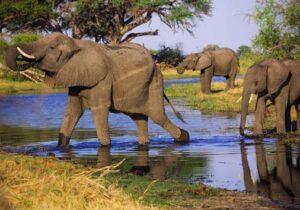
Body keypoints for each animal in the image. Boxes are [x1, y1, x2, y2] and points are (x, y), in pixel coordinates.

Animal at [5, 32, 190, 148]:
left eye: (51, 48)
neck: (76, 43)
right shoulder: (77, 77)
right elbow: (73, 111)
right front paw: (61, 146)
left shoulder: (103, 80)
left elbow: (99, 109)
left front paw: (105, 146)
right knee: (138, 117)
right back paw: (145, 143)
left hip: (155, 83)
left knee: (158, 117)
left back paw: (184, 137)